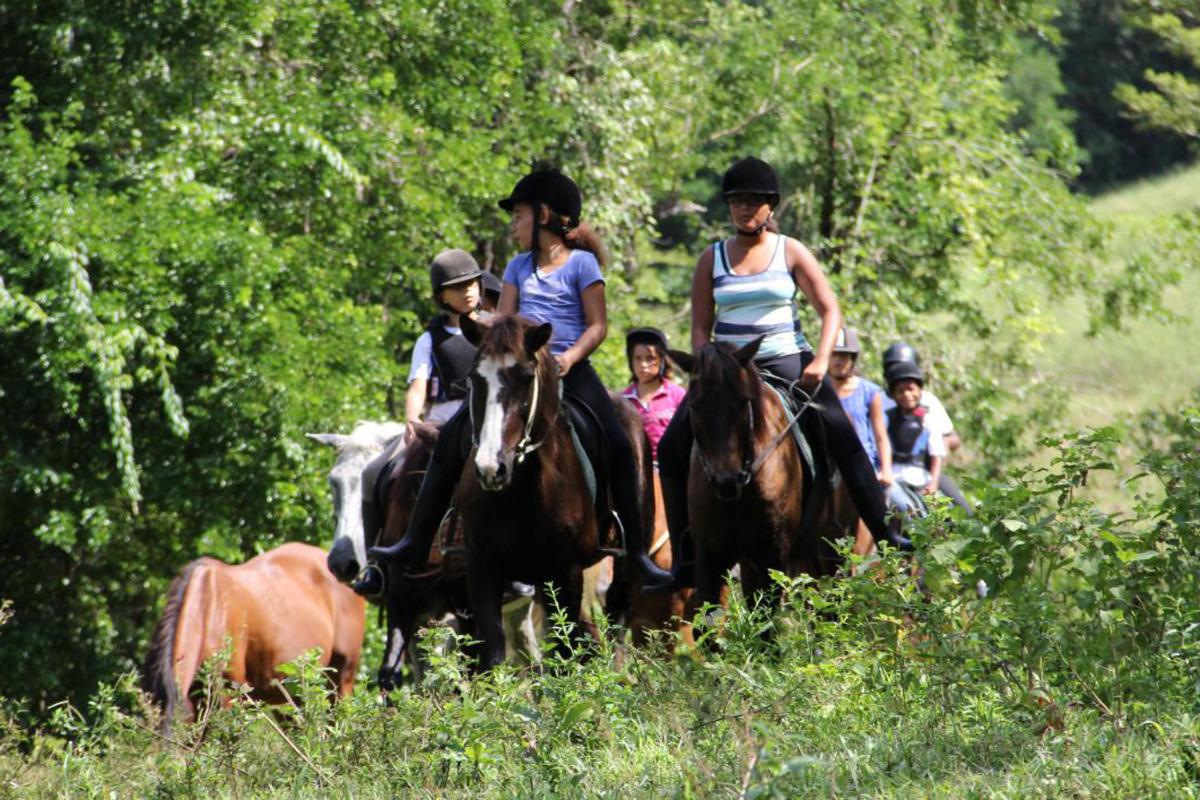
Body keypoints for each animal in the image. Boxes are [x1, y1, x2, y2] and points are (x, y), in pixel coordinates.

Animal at [672, 338, 859, 623]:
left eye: (743, 402)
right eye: (695, 405)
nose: (726, 481)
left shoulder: (772, 556)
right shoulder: (709, 555)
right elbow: (707, 622)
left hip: (832, 548)